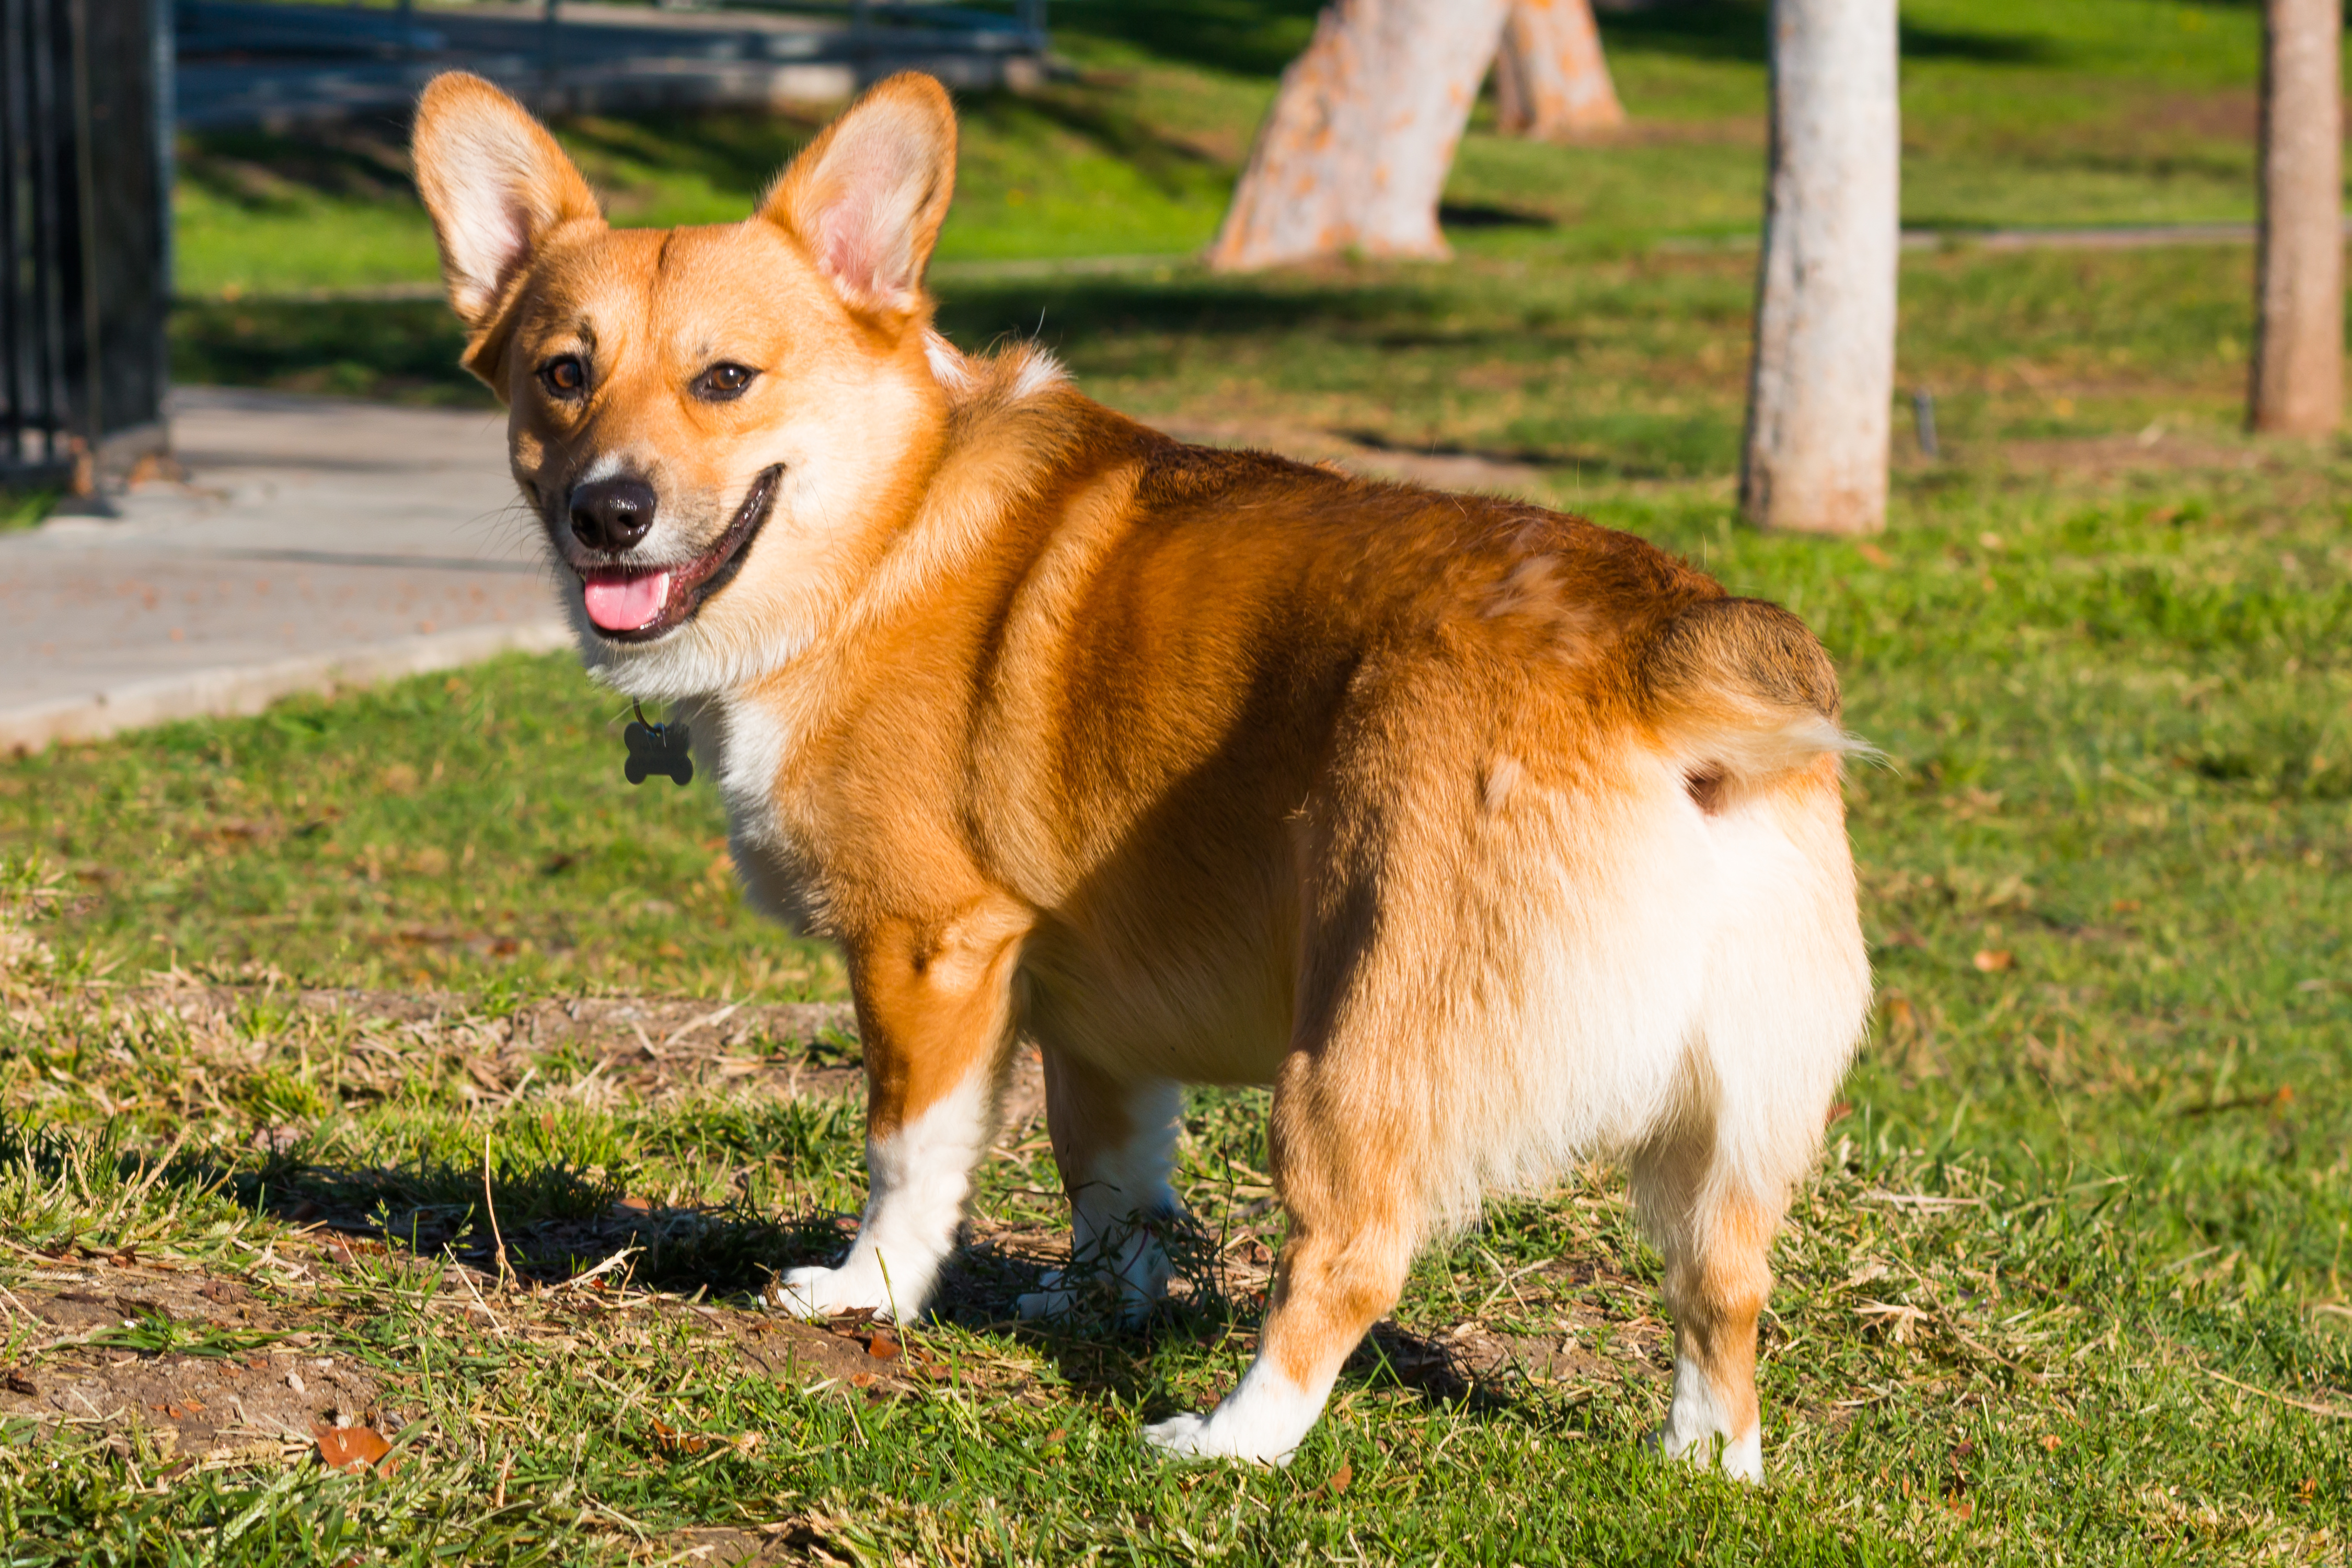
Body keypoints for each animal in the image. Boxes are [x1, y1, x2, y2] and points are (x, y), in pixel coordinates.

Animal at [414, 67, 1863, 1476]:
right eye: (562, 374)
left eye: (724, 378)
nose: (607, 512)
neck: (880, 527)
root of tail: (1657, 654)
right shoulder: (1090, 1015)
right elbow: (1111, 1180)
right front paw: (1091, 1304)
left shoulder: (929, 949)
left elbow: (909, 1153)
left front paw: (867, 1292)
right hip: (1731, 1122)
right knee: (1723, 1289)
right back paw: (1704, 1462)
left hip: (1352, 1058)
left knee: (1347, 1261)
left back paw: (1230, 1440)